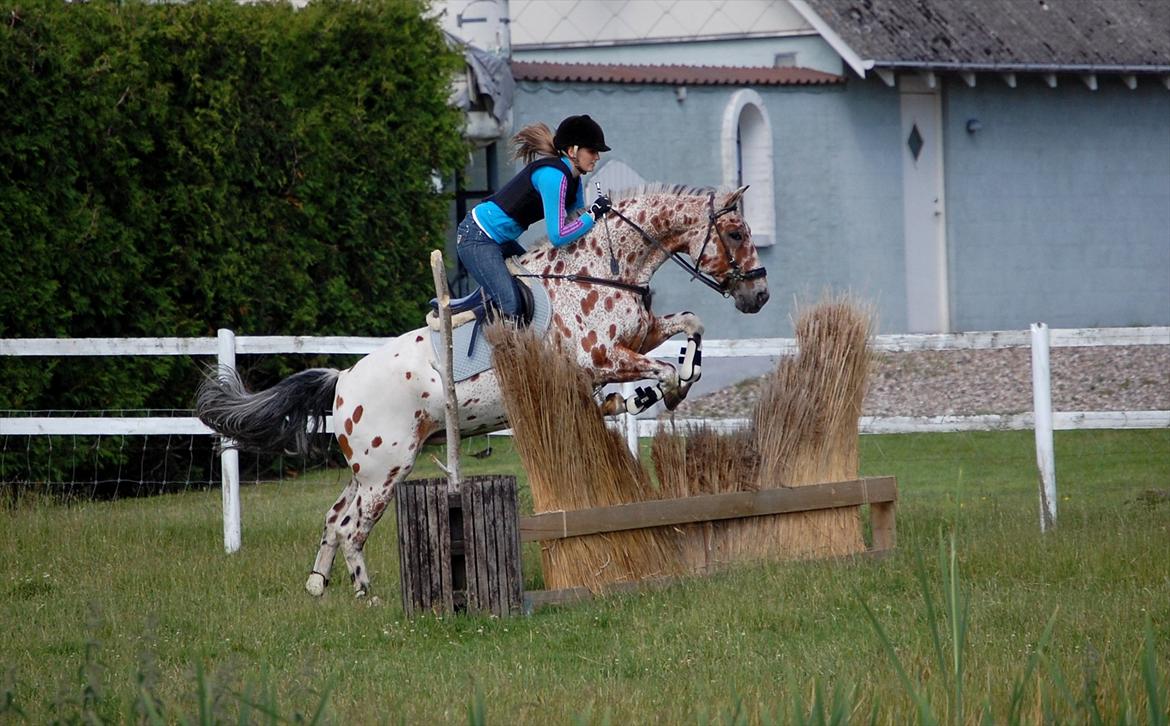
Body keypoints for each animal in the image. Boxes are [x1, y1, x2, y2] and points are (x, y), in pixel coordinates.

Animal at [197, 183, 772, 598]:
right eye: (735, 234)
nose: (760, 295)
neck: (603, 272)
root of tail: (342, 381)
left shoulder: (639, 336)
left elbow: (691, 325)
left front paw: (680, 377)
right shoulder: (602, 360)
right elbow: (662, 371)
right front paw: (648, 397)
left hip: (367, 469)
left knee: (335, 517)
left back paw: (318, 586)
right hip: (388, 470)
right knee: (353, 529)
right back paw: (368, 596)